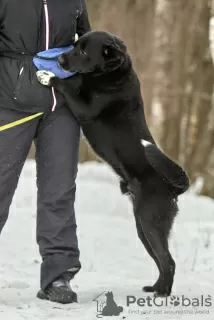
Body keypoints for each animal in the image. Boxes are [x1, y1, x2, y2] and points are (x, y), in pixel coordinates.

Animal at [36, 31, 189, 296]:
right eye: (75, 45)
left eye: (84, 52)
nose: (61, 60)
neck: (110, 75)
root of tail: (173, 188)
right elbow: (74, 82)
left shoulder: (85, 108)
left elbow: (66, 85)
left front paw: (48, 76)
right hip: (143, 228)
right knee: (161, 260)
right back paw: (155, 287)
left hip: (151, 222)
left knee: (168, 261)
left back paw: (162, 292)